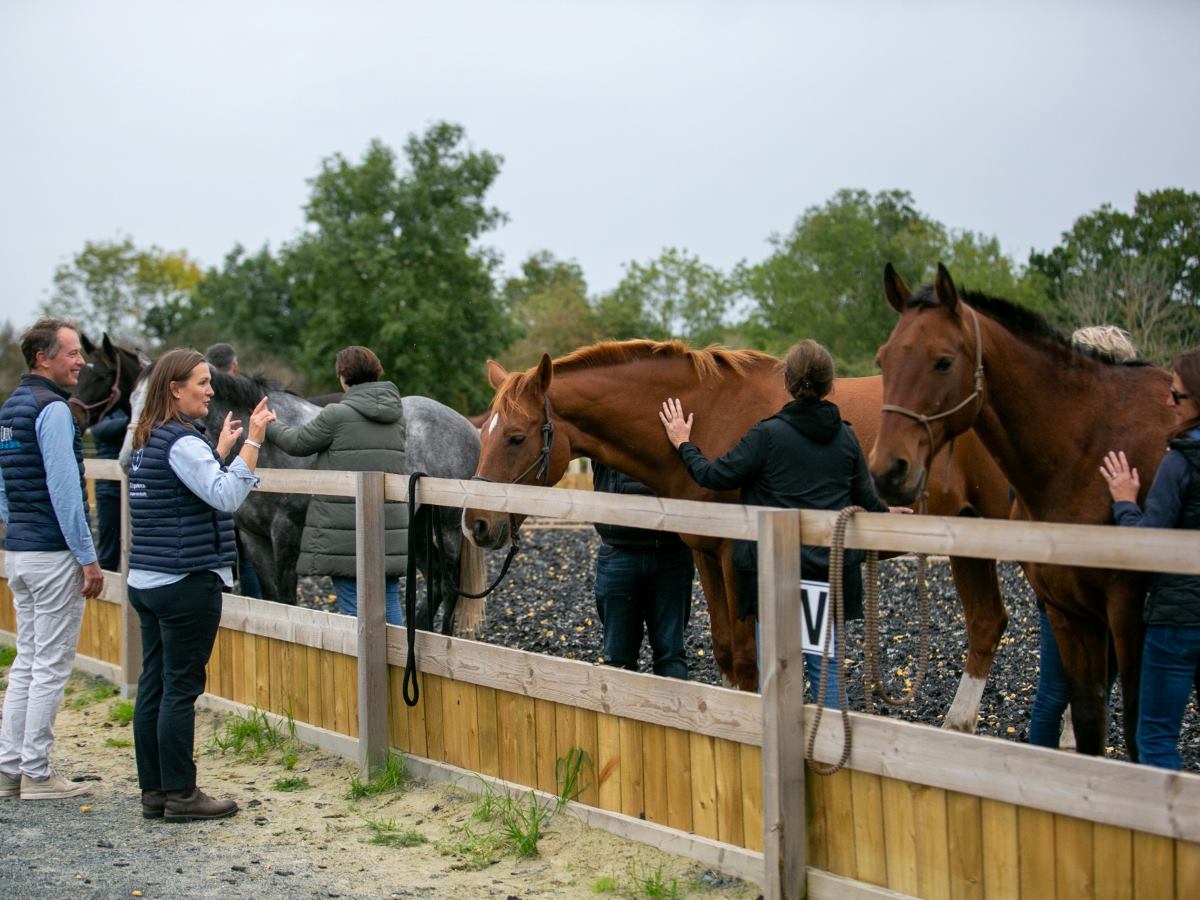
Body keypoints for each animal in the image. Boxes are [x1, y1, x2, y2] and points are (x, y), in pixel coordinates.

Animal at [463, 340, 1017, 710]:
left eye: (515, 437)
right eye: (483, 432)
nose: (476, 523)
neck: (706, 416)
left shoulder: (738, 557)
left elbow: (749, 660)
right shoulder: (707, 554)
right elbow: (727, 652)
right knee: (986, 624)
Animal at [873, 264, 1171, 758]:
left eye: (943, 361)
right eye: (883, 360)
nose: (886, 469)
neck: (1088, 448)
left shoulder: (1129, 615)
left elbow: (1133, 733)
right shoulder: (1069, 613)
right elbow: (1089, 724)